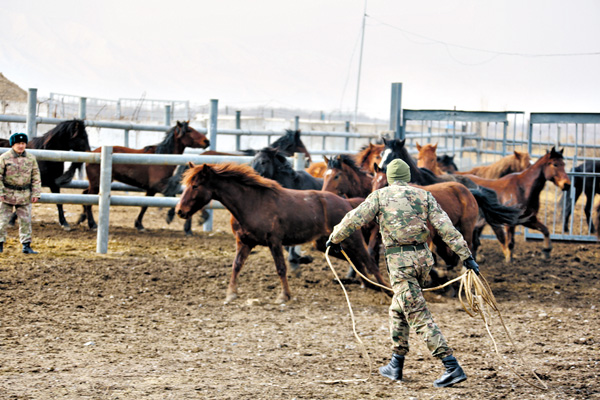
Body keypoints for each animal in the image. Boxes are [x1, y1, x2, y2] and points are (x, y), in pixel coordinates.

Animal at [77, 120, 210, 230]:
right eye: (189, 130)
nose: (207, 141)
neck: (161, 157)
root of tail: (91, 153)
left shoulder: (151, 189)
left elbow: (144, 205)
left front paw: (139, 224)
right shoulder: (158, 186)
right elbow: (172, 196)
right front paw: (170, 216)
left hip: (95, 184)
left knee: (84, 194)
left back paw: (82, 218)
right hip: (96, 184)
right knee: (88, 200)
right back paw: (92, 224)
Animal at [175, 162, 390, 304]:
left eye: (195, 185)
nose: (179, 211)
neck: (251, 203)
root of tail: (346, 202)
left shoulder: (274, 242)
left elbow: (280, 267)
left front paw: (284, 296)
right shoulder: (244, 242)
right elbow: (236, 266)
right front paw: (230, 294)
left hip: (353, 239)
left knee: (368, 260)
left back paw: (385, 289)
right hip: (325, 243)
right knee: (355, 260)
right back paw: (367, 283)